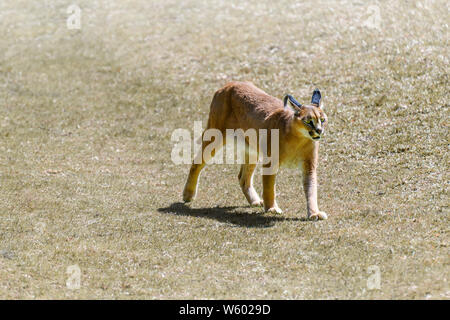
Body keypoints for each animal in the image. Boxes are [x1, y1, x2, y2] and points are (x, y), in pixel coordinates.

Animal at [182, 81, 326, 220]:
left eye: (323, 120)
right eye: (308, 121)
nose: (319, 130)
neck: (300, 139)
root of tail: (230, 84)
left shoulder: (309, 165)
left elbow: (311, 188)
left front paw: (314, 213)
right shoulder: (270, 162)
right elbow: (269, 187)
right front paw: (272, 208)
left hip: (251, 149)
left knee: (242, 177)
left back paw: (255, 201)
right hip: (215, 137)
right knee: (196, 162)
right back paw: (188, 195)